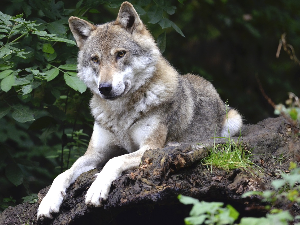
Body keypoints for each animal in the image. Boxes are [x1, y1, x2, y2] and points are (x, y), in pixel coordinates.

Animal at [36, 1, 243, 220]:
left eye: (120, 54)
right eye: (95, 59)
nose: (104, 88)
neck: (120, 114)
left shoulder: (148, 148)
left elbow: (114, 161)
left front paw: (96, 188)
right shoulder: (94, 153)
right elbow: (63, 174)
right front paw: (48, 202)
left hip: (234, 121)